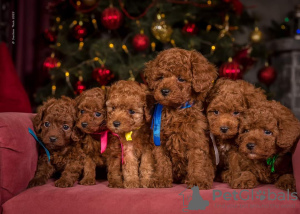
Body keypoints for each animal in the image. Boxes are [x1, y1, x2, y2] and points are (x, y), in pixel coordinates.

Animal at [144, 47, 217, 188]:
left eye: (181, 79)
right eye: (161, 77)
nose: (164, 91)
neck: (175, 111)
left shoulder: (196, 141)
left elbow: (197, 162)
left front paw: (198, 180)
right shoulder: (160, 142)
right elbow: (162, 162)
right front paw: (161, 179)